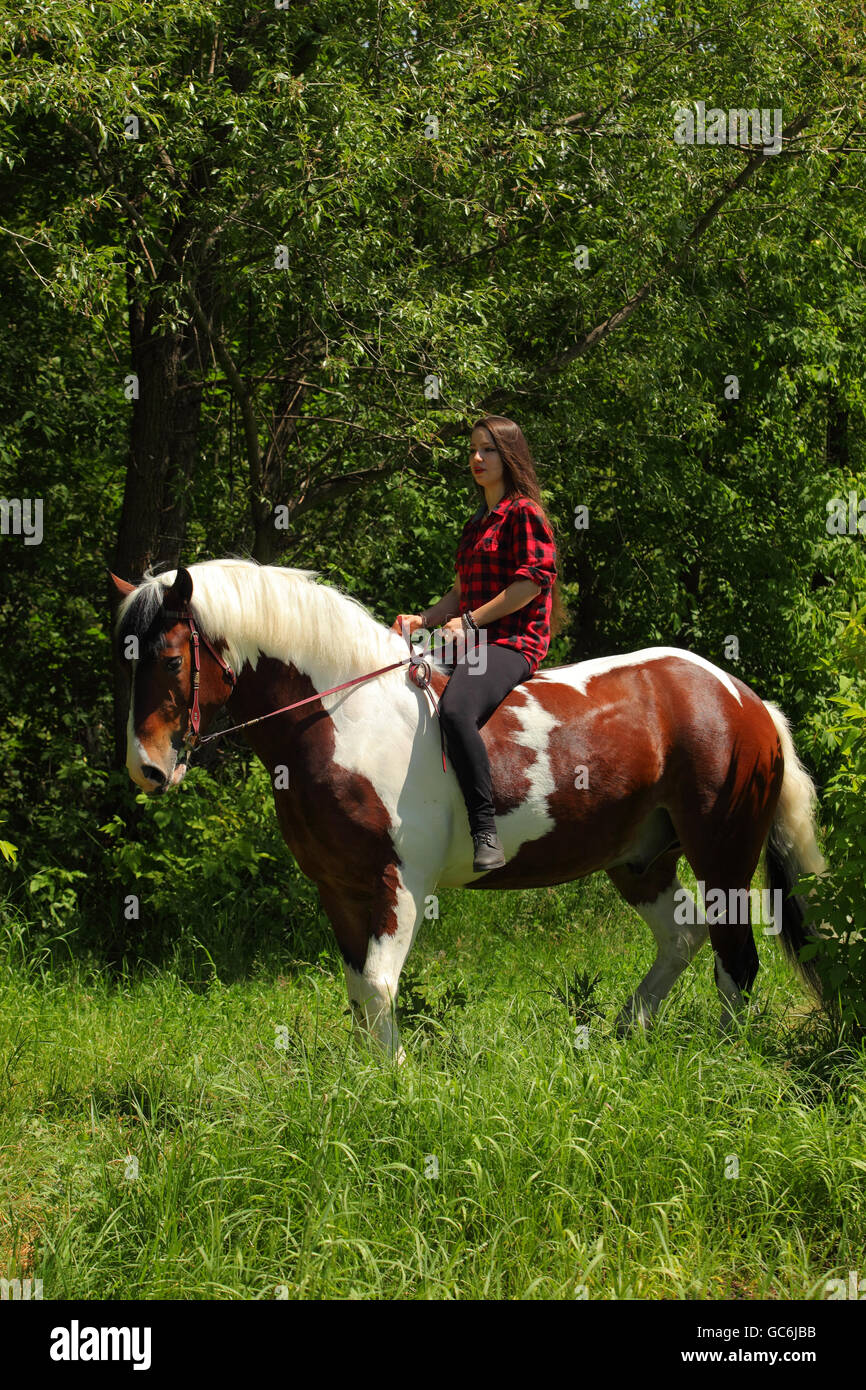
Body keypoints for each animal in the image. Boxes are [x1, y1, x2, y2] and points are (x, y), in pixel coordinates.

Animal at [111, 558, 828, 1056]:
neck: (342, 716)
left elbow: (379, 985)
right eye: (126, 663)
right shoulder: (337, 887)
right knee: (682, 937)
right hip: (639, 859)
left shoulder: (397, 881)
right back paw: (626, 1033)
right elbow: (357, 990)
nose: (146, 768)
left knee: (737, 962)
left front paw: (395, 1082)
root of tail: (743, 697)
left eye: (170, 659)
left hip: (723, 856)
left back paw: (719, 1059)